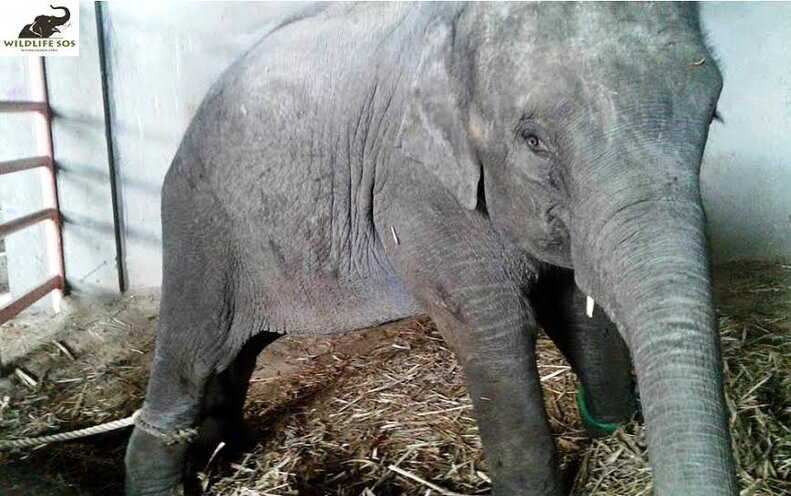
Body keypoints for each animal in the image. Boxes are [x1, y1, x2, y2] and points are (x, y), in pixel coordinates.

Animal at [125, 3, 738, 495]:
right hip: (201, 223)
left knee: (235, 357)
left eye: (713, 114)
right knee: (195, 350)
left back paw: (224, 451)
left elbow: (573, 304)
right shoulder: (414, 186)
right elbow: (494, 329)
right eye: (533, 140)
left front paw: (615, 430)